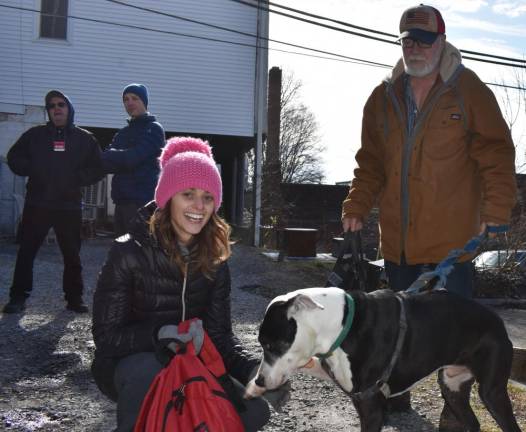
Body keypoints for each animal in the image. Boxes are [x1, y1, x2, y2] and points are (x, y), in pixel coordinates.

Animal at [248, 286, 524, 432]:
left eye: (273, 345)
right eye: (261, 344)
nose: (260, 381)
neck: (342, 325)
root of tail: (498, 322)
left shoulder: (371, 406)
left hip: (491, 393)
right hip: (452, 387)